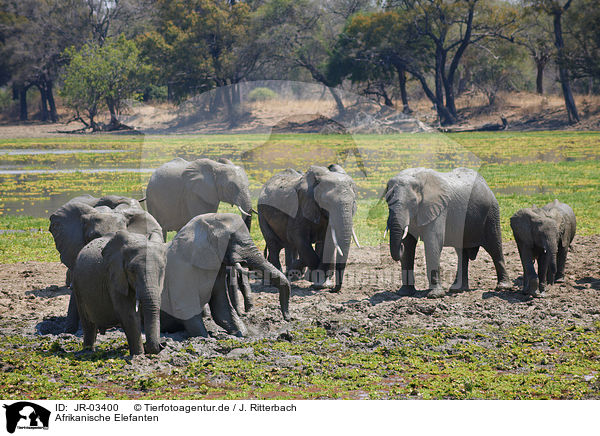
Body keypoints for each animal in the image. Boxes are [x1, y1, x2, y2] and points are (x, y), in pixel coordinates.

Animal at [384, 166, 510, 296]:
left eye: (413, 202)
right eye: (387, 201)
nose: (400, 247)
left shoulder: (439, 208)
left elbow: (433, 242)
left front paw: (435, 295)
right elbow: (409, 245)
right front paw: (404, 293)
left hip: (491, 212)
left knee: (494, 247)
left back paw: (503, 287)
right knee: (461, 253)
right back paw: (458, 289)